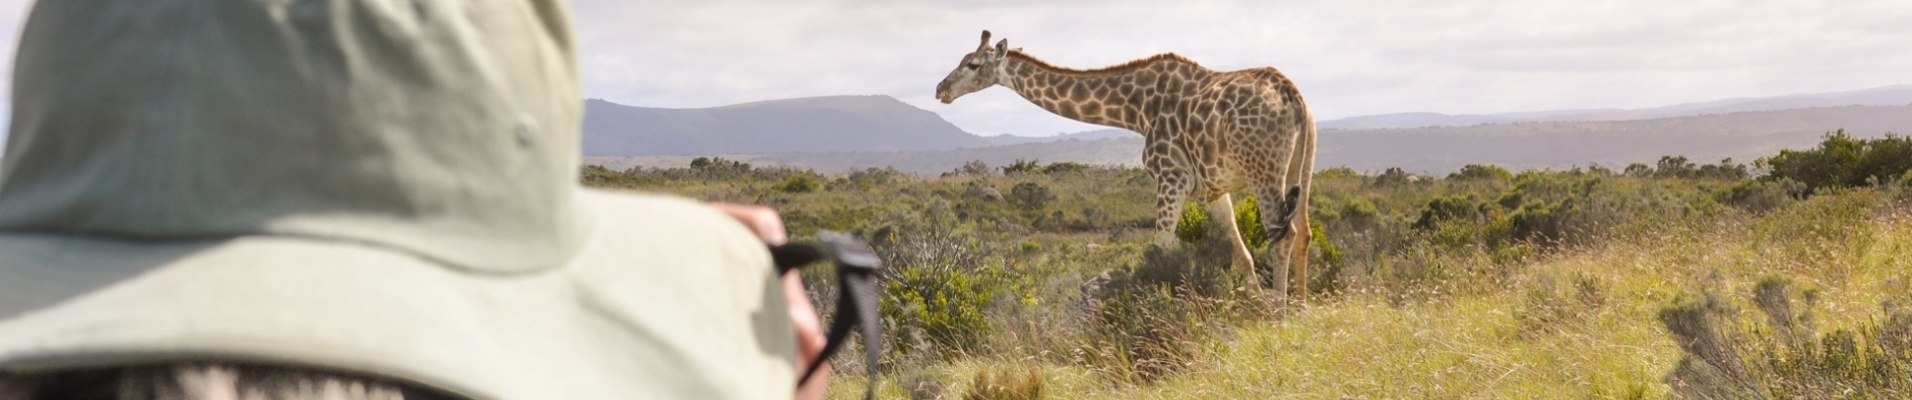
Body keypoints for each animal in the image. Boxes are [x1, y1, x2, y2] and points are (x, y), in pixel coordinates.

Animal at [936, 29, 1315, 302]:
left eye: (972, 64)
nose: (941, 89)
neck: (1136, 110)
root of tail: (1292, 94)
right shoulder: (1210, 189)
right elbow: (1240, 254)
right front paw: (1256, 308)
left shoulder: (1170, 176)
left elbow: (1159, 250)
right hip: (1300, 166)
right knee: (1304, 233)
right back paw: (1299, 309)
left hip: (1262, 168)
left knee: (1284, 235)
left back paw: (1282, 316)